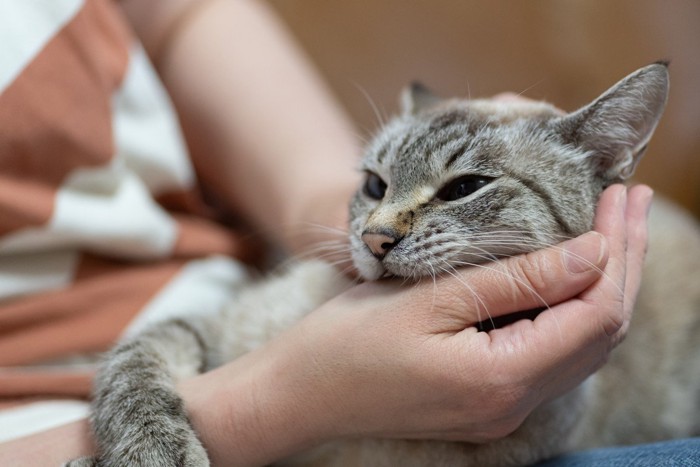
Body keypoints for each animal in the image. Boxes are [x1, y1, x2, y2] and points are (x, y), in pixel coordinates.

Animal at [67, 63, 700, 467]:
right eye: (375, 184)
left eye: (464, 188)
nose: (374, 239)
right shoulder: (199, 330)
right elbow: (129, 373)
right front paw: (152, 453)